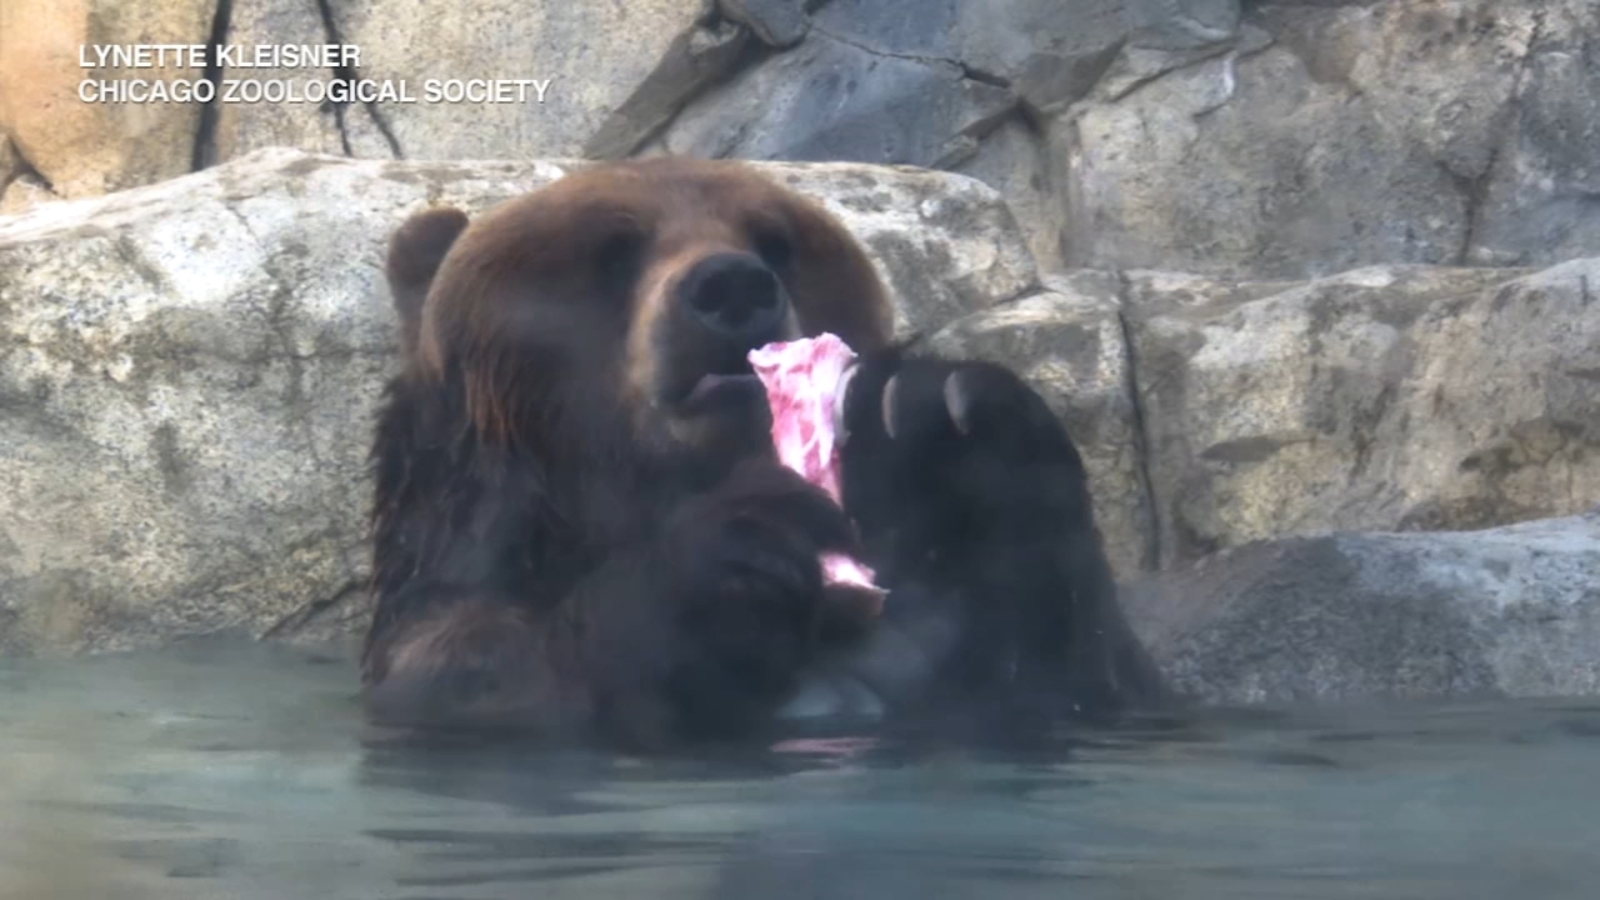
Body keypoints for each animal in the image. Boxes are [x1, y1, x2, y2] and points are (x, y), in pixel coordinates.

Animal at [360, 157, 1164, 750]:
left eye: (773, 238)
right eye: (613, 249)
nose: (733, 283)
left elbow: (1084, 672)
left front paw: (947, 421)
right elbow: (484, 665)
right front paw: (735, 546)